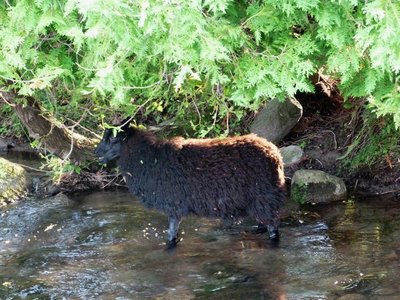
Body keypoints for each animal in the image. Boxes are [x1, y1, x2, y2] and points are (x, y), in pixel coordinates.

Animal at [95, 122, 286, 248]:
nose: (95, 152)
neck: (149, 160)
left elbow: (171, 235)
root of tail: (275, 154)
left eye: (113, 140)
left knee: (273, 229)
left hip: (264, 196)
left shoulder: (173, 205)